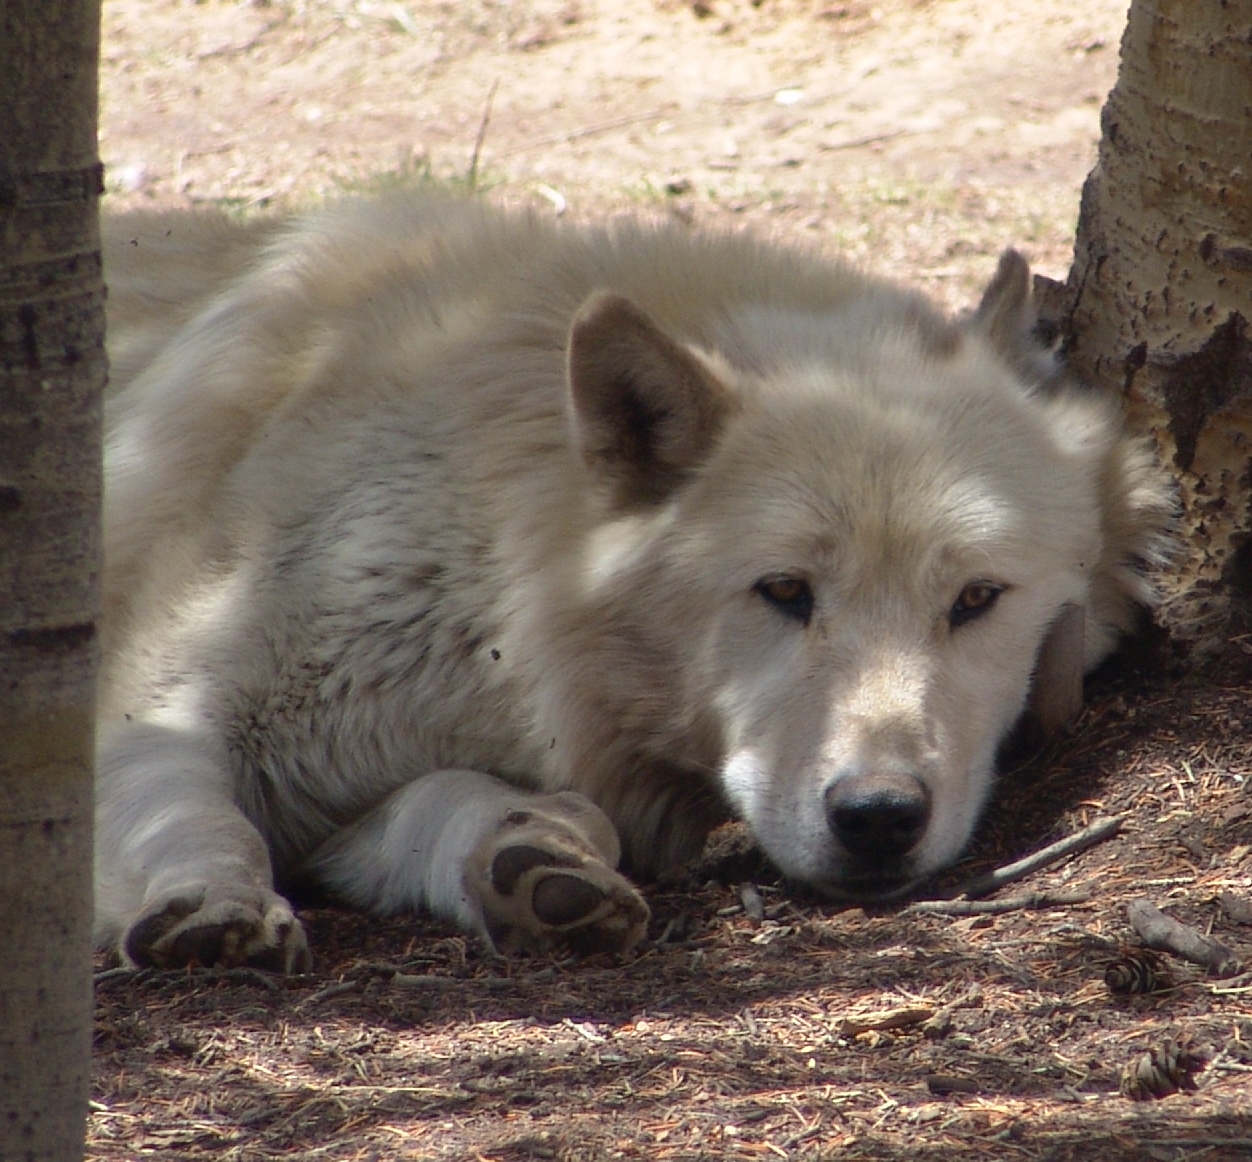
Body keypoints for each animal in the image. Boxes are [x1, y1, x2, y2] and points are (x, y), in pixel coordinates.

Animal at [95, 192, 1171, 971]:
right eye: (784, 592)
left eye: (975, 600)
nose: (877, 818)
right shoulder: (155, 705)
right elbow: (192, 808)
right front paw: (215, 902)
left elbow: (463, 804)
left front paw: (526, 859)